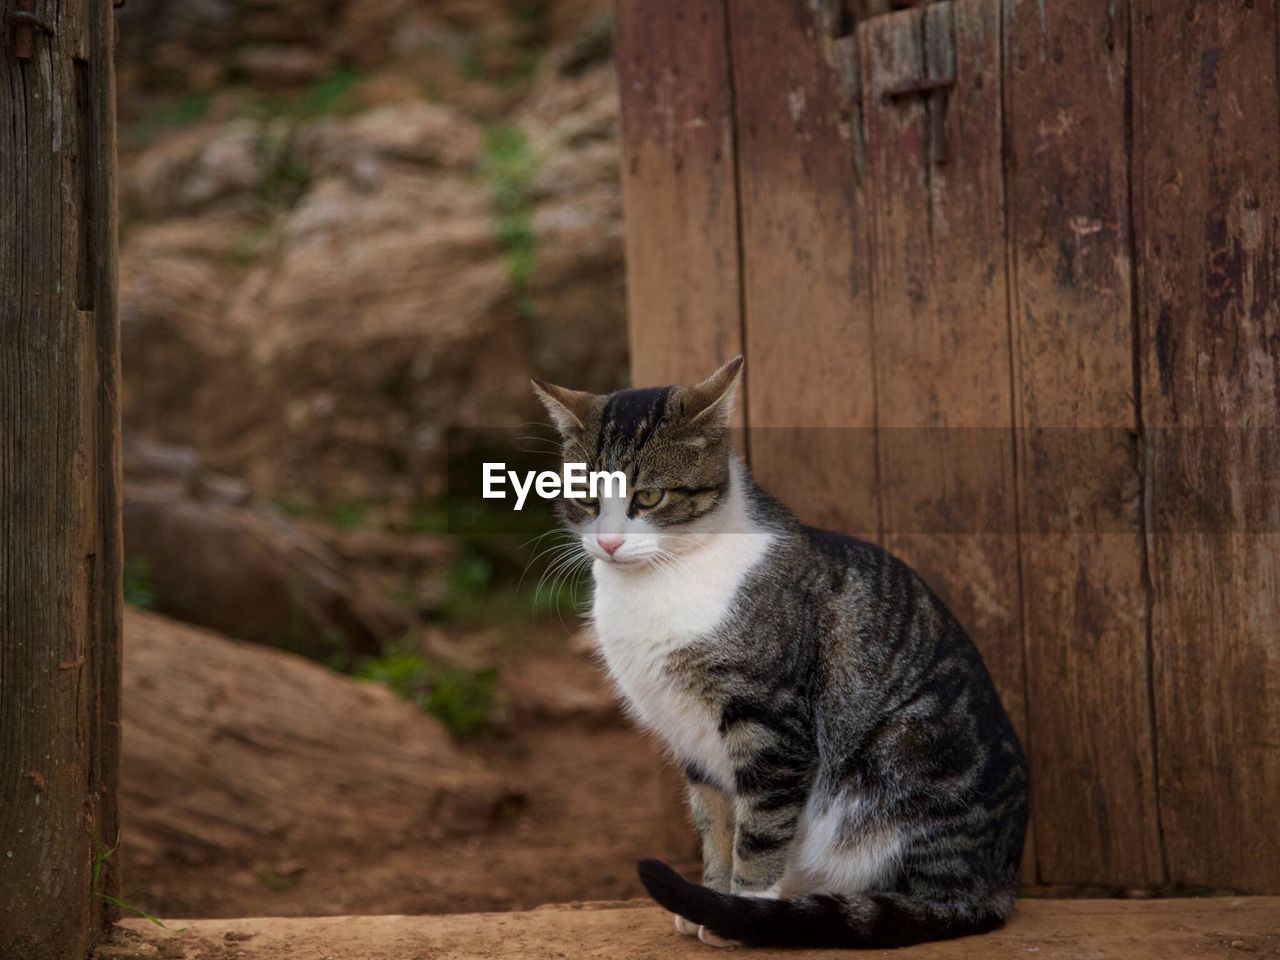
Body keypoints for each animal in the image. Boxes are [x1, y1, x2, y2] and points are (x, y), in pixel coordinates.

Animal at [529, 358, 1029, 952]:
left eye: (647, 498)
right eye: (585, 498)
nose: (607, 542)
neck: (661, 583)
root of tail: (994, 883)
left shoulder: (772, 726)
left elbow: (761, 829)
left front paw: (741, 910)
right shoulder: (692, 740)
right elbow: (715, 824)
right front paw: (711, 896)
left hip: (897, 761)